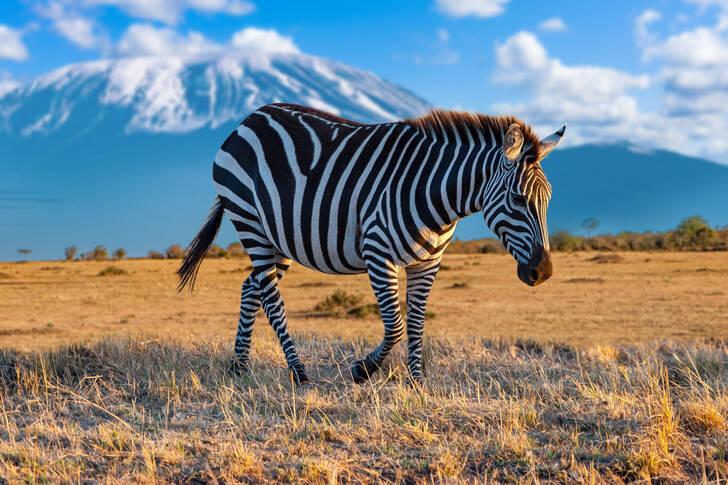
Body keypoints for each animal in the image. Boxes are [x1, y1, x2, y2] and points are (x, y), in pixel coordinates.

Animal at [178, 103, 565, 385]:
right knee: (271, 299)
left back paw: (239, 367)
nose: (543, 272)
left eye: (547, 199)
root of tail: (248, 119)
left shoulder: (429, 263)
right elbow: (395, 325)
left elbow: (417, 323)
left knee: (250, 287)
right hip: (249, 220)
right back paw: (298, 372)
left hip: (279, 238)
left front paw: (417, 382)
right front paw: (363, 370)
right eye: (517, 198)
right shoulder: (378, 253)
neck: (436, 195)